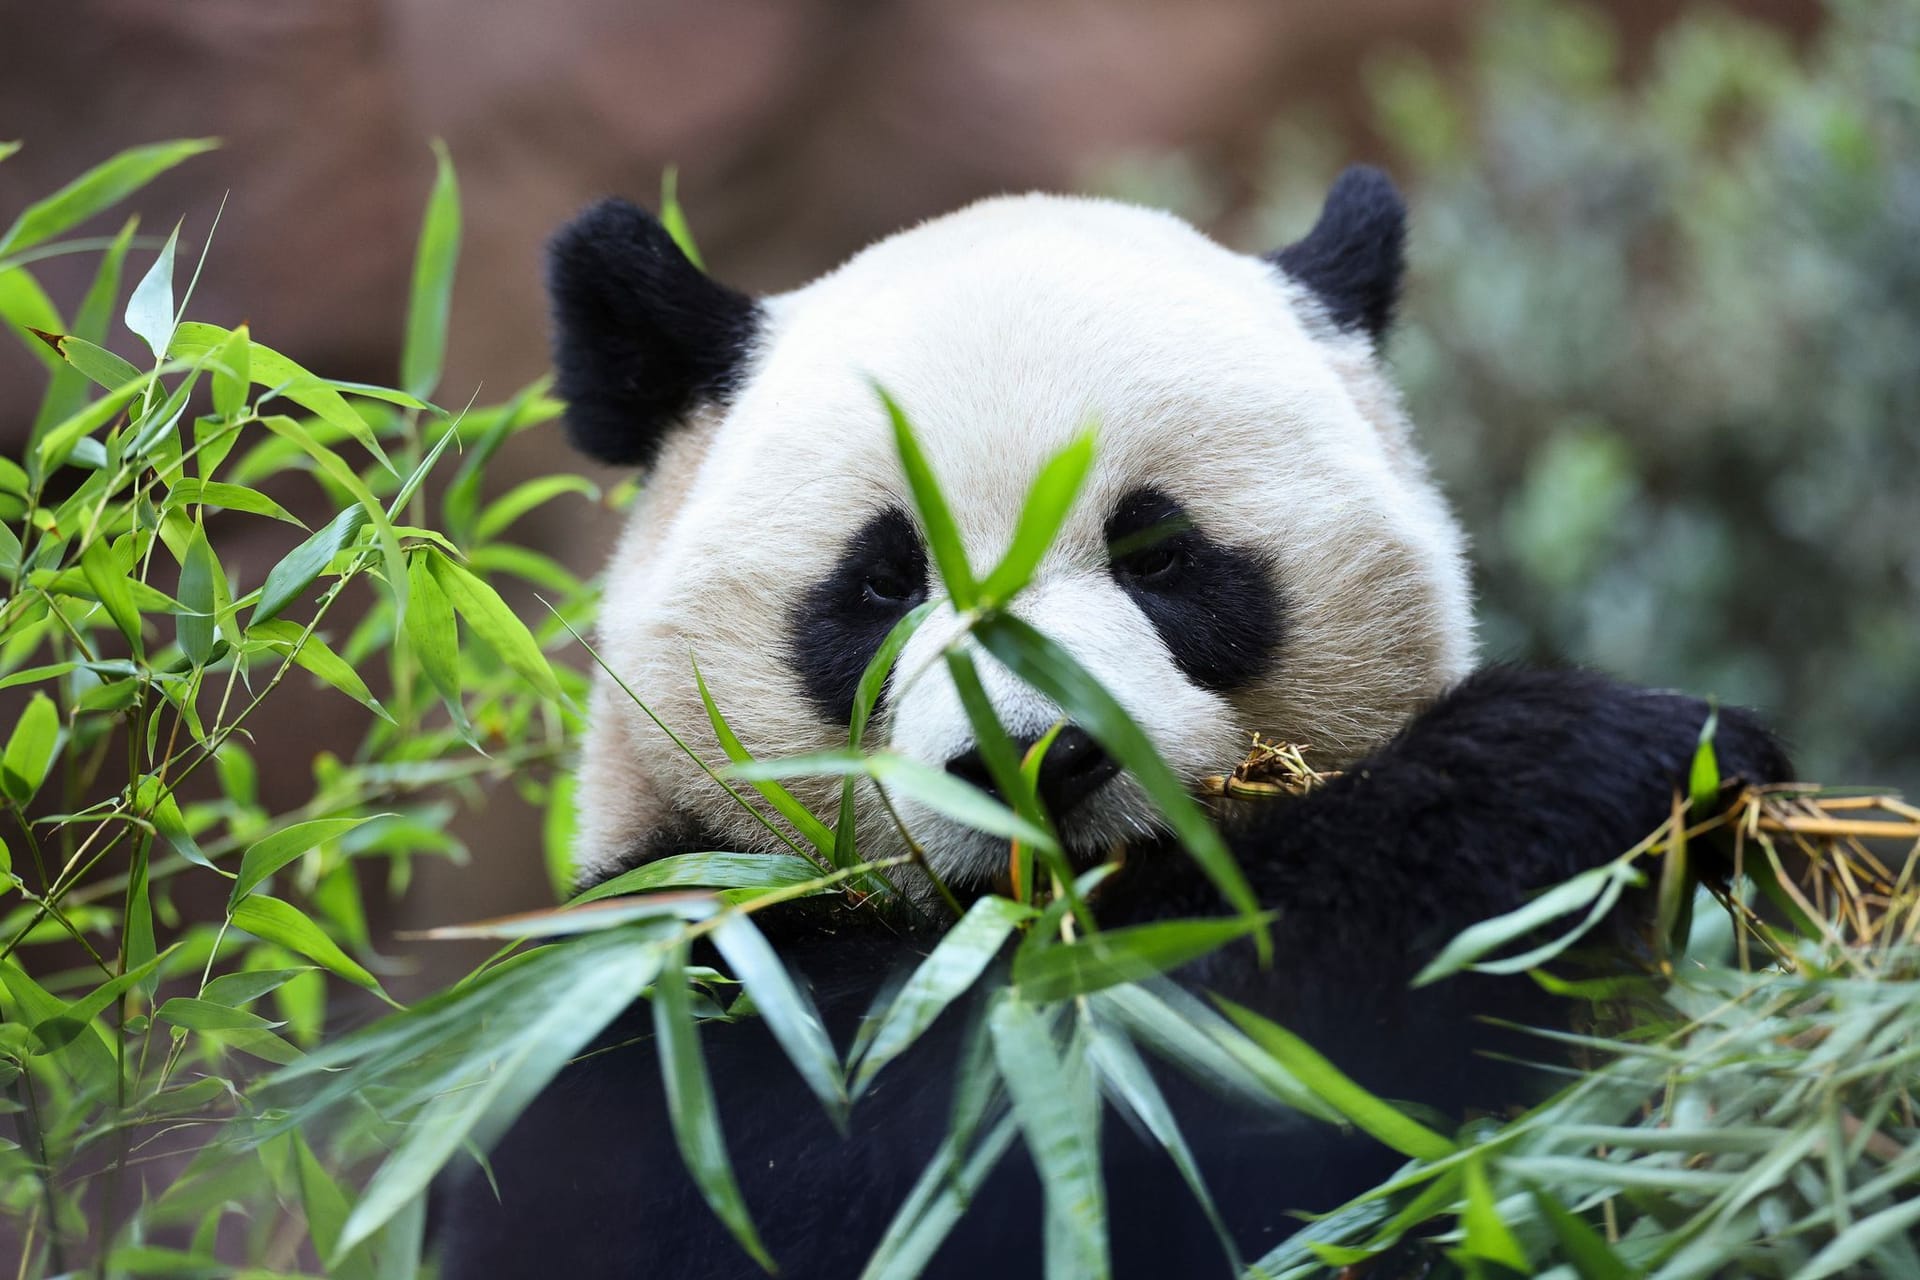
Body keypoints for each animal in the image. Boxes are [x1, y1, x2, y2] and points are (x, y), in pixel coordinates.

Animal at [432, 172, 1781, 1280]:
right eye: (882, 581)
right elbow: (921, 1120)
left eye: (1157, 551)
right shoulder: (643, 983)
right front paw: (1577, 767)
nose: (1032, 756)